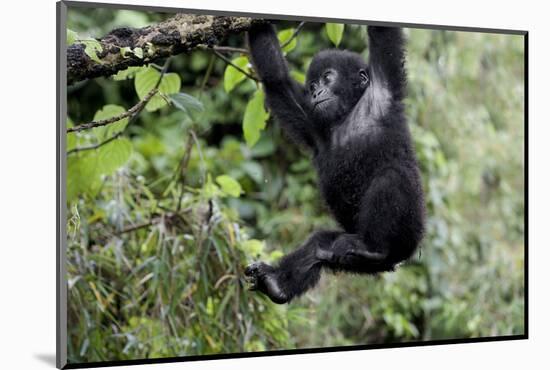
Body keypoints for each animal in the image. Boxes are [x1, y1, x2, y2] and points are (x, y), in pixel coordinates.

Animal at [246, 24, 426, 304]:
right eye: (312, 84)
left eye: (328, 78)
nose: (317, 92)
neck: (347, 114)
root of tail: (394, 262)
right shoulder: (313, 121)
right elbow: (276, 79)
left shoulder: (383, 88)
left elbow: (383, 34)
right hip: (350, 255)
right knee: (320, 244)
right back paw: (276, 283)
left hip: (408, 234)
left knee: (391, 176)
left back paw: (374, 247)